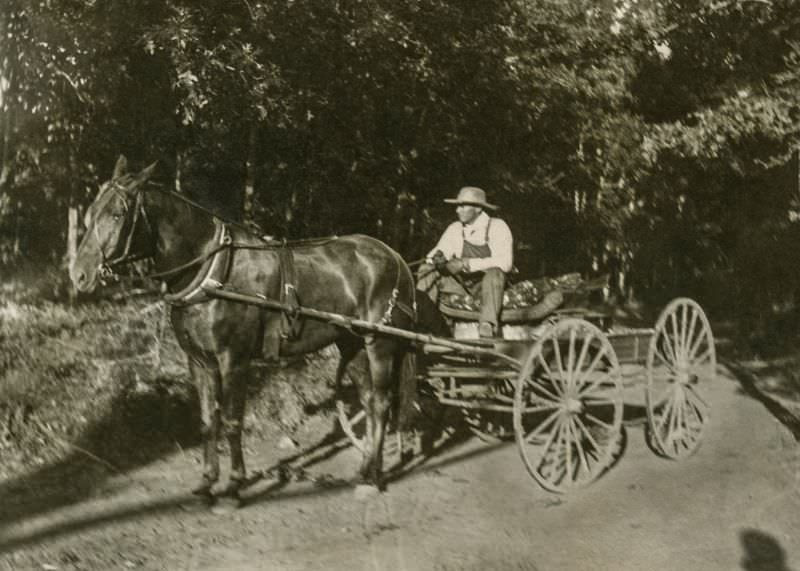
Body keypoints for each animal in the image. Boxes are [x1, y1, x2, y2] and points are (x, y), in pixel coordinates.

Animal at [68, 156, 416, 500]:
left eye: (117, 214)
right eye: (89, 213)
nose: (79, 274)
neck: (212, 272)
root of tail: (395, 257)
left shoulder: (232, 359)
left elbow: (232, 420)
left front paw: (235, 483)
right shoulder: (199, 361)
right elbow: (208, 420)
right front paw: (207, 480)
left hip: (380, 344)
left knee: (381, 404)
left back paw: (376, 476)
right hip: (352, 344)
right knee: (368, 401)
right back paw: (365, 469)